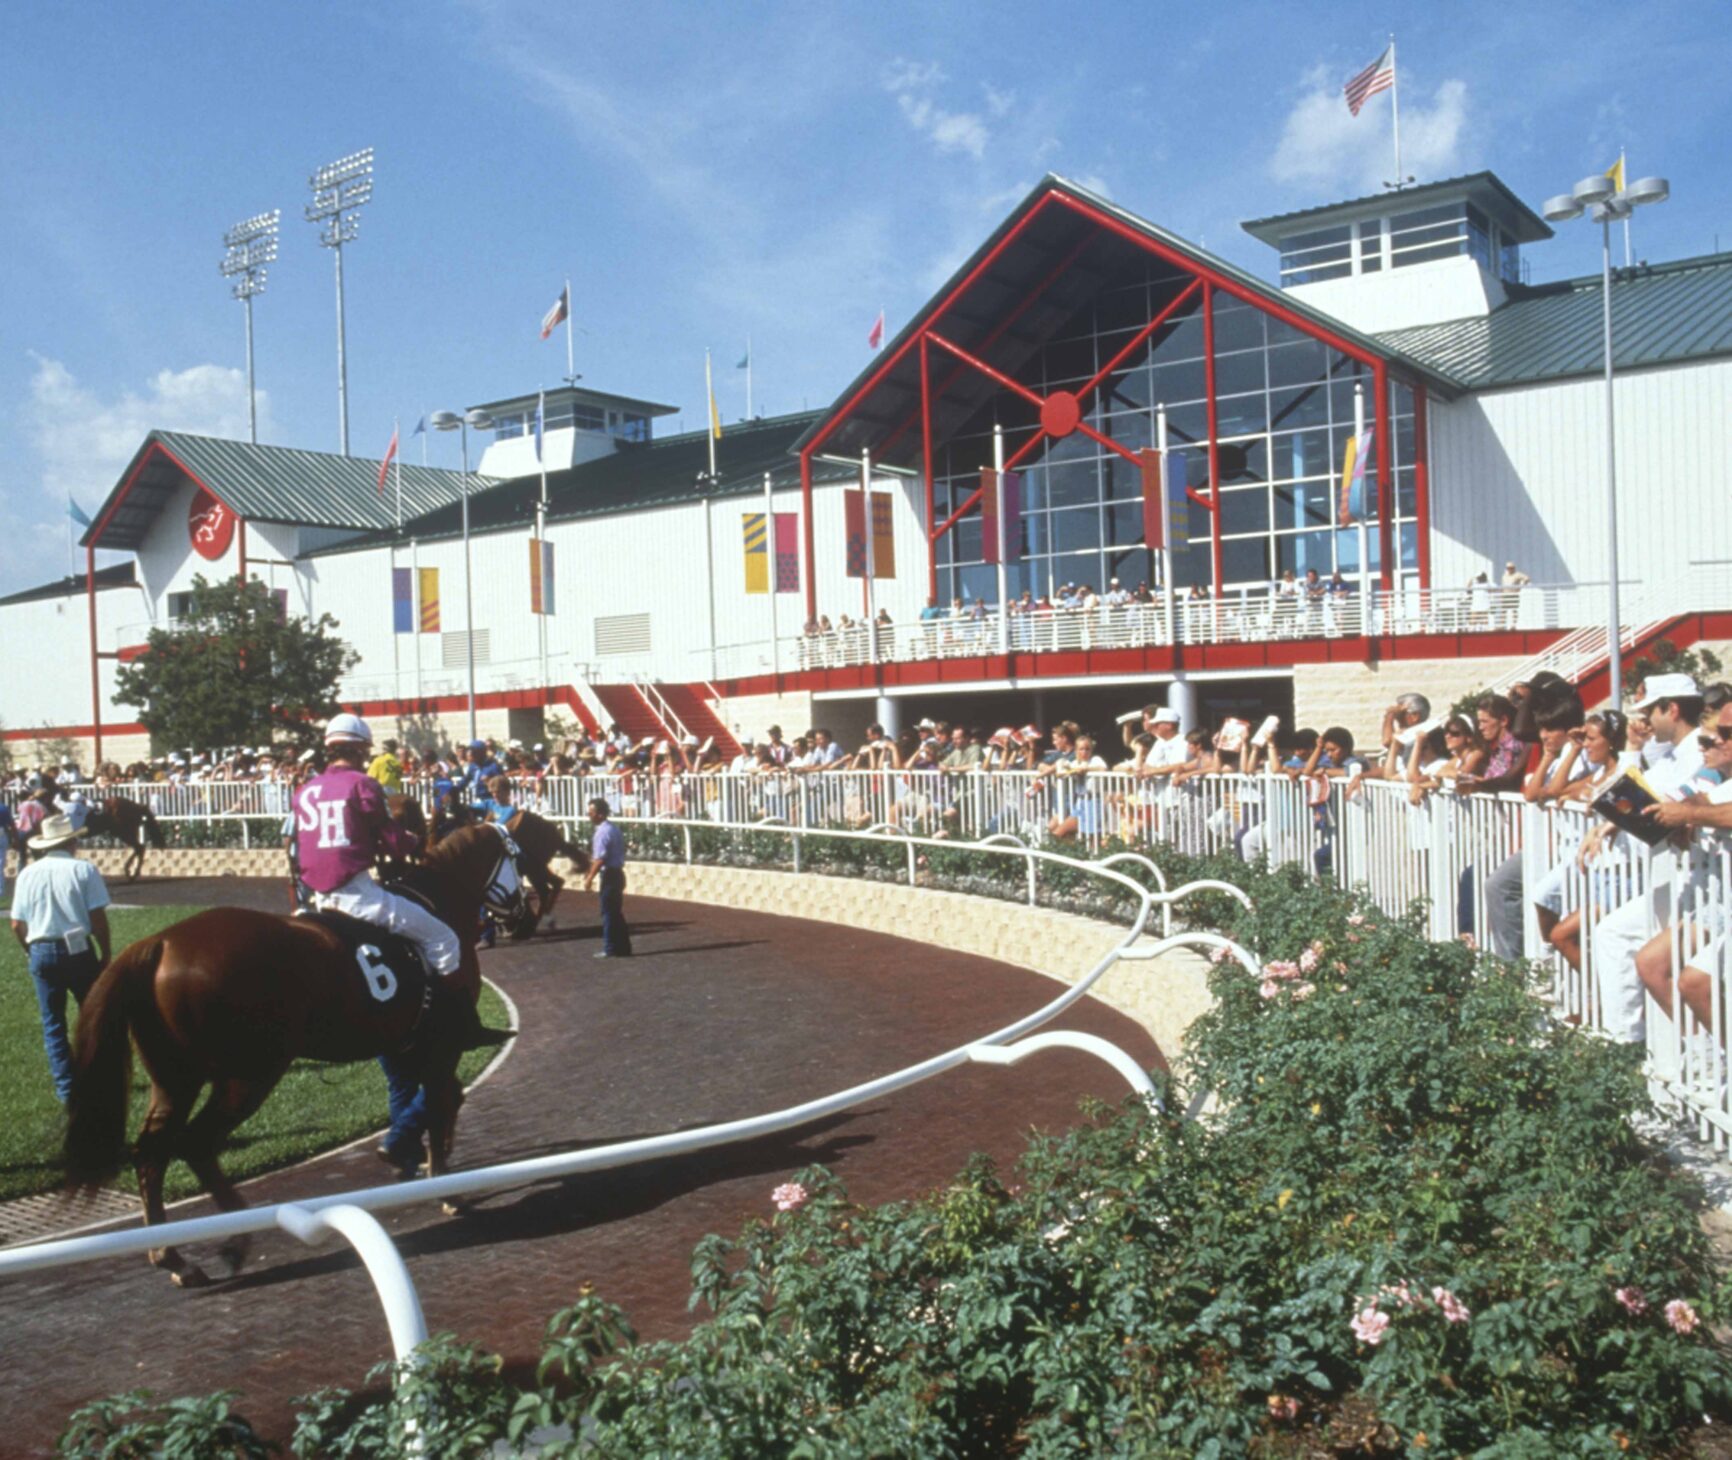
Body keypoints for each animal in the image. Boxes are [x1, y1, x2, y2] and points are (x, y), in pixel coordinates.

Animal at [65, 827, 519, 1281]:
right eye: (514, 856)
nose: (517, 908)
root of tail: (159, 942)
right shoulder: (441, 1046)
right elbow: (441, 1101)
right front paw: (444, 1185)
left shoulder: (408, 1045)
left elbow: (430, 1098)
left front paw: (407, 1156)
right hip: (250, 1074)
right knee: (196, 1144)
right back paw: (234, 1241)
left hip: (175, 1080)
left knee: (150, 1153)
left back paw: (172, 1256)